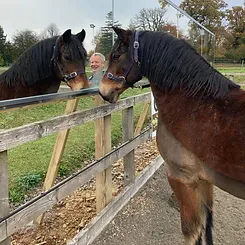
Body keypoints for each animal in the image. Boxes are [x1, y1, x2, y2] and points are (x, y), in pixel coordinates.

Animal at [98, 27, 245, 245]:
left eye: (116, 55)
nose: (103, 91)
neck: (195, 103)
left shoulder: (183, 179)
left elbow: (192, 232)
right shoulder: (205, 180)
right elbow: (207, 226)